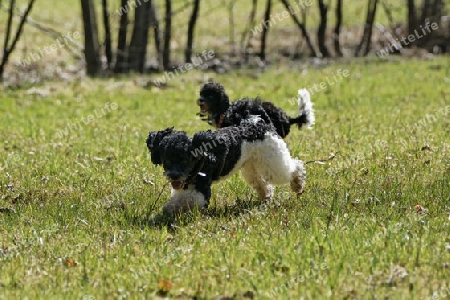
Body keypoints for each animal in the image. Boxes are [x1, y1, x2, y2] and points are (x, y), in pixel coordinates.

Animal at [146, 118, 304, 216]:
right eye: (166, 161)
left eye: (185, 161)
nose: (174, 176)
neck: (202, 156)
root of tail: (261, 125)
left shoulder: (201, 189)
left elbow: (187, 200)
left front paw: (170, 210)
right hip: (251, 167)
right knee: (263, 184)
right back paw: (266, 197)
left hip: (272, 162)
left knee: (295, 166)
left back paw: (298, 184)